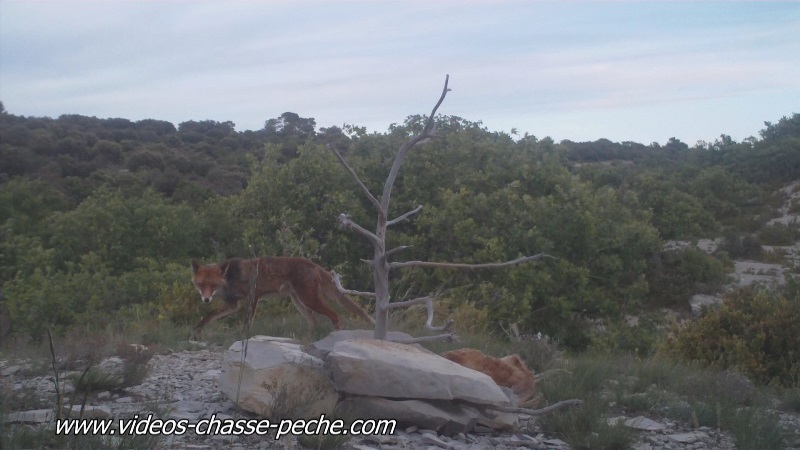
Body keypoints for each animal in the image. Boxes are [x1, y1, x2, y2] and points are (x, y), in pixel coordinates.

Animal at [190, 258, 376, 336]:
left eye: (213, 285)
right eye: (201, 285)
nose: (206, 300)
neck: (230, 278)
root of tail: (314, 265)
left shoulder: (253, 295)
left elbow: (247, 321)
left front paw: (244, 337)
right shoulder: (232, 304)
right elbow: (208, 316)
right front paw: (197, 331)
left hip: (309, 300)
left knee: (335, 315)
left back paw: (334, 336)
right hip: (299, 301)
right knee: (314, 321)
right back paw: (307, 340)